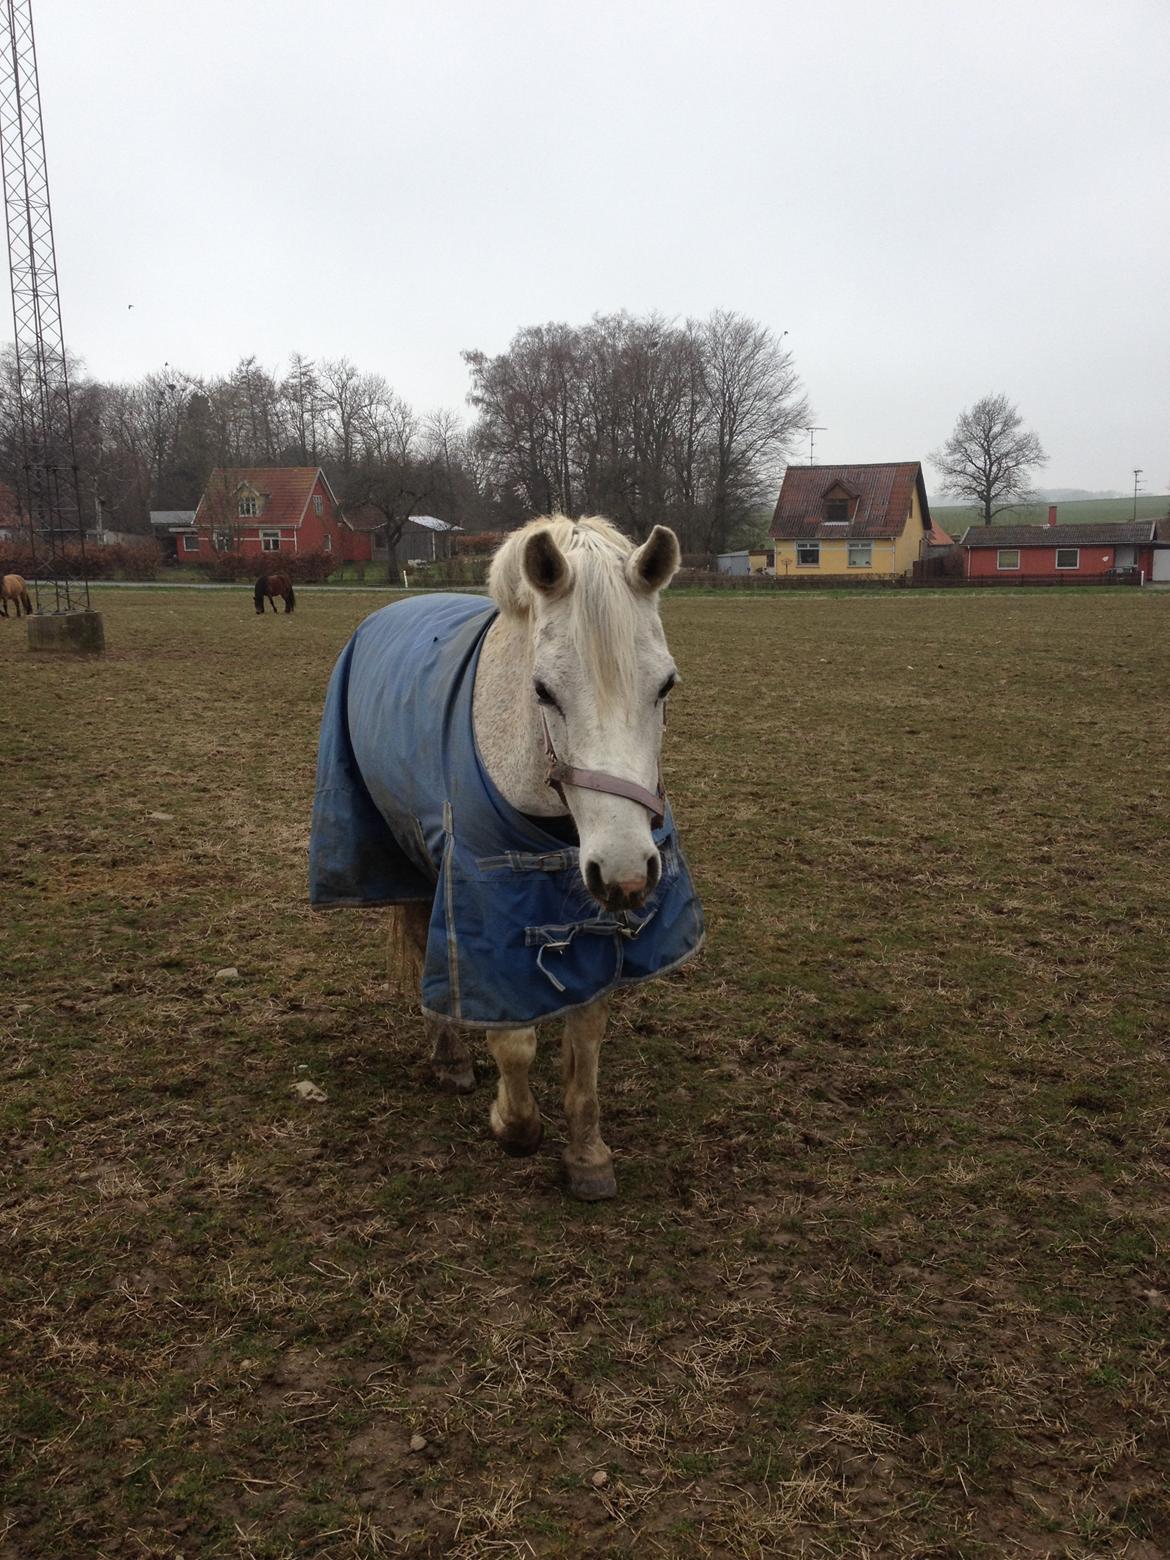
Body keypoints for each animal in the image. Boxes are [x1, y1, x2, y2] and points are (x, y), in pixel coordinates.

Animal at [307, 517, 705, 1198]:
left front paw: (587, 1154)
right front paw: (513, 1125)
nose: (627, 873)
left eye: (666, 685)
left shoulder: (594, 917)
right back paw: (449, 1059)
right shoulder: (482, 904)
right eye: (543, 690)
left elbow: (585, 1038)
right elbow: (513, 1040)